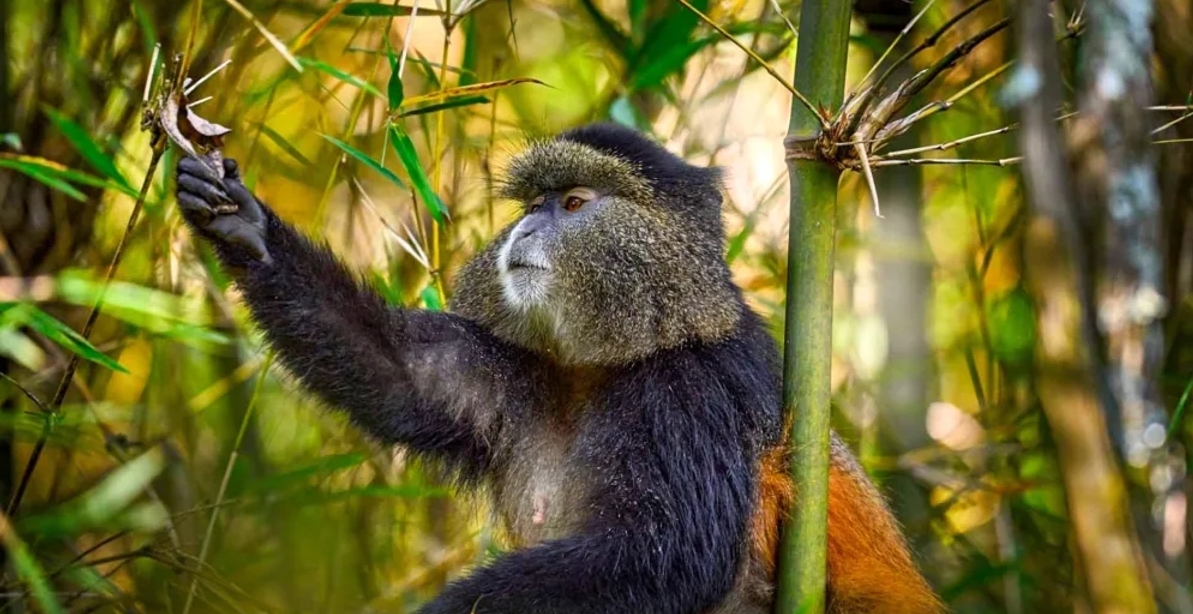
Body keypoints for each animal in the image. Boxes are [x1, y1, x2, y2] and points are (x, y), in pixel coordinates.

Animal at [174, 122, 943, 614]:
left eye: (573, 204)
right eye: (533, 203)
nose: (525, 227)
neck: (609, 364)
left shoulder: (694, 392)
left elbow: (669, 552)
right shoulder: (516, 371)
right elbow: (402, 374)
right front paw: (242, 223)